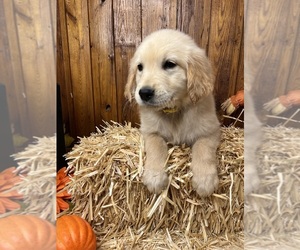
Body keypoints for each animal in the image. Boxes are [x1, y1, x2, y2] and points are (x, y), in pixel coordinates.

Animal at [124, 29, 220, 196]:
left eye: (169, 64)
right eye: (140, 67)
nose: (144, 93)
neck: (173, 111)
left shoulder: (211, 130)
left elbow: (203, 147)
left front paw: (205, 180)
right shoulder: (149, 132)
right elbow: (156, 145)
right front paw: (155, 177)